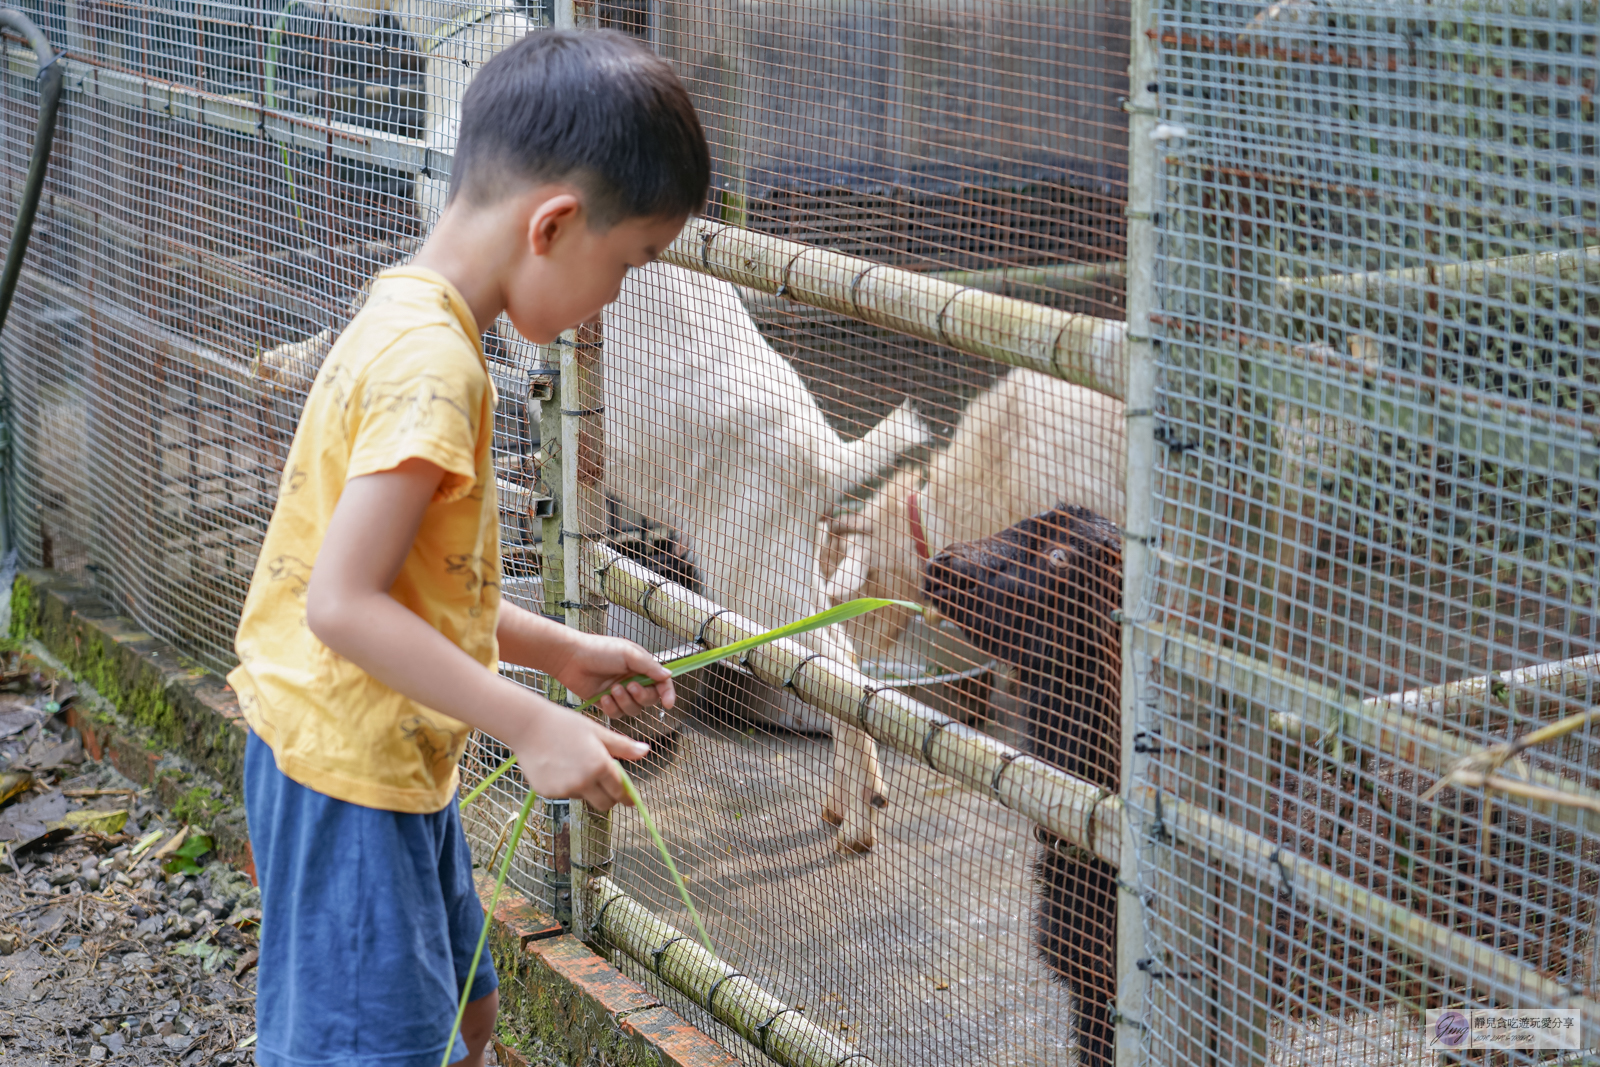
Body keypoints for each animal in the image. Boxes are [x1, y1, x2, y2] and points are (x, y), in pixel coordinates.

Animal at [604, 262, 934, 857]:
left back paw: (859, 825)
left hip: (752, 557)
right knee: (836, 660)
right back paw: (841, 810)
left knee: (828, 660)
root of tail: (829, 460)